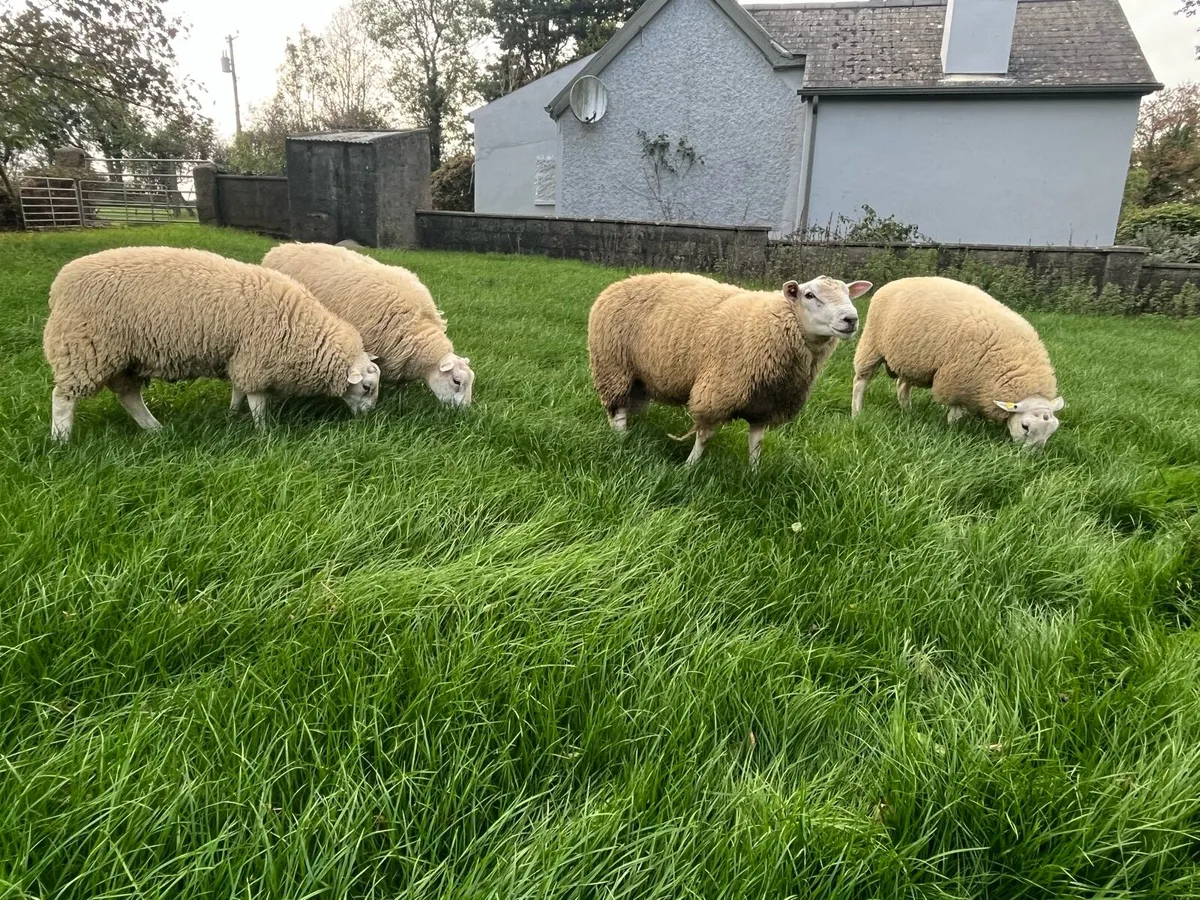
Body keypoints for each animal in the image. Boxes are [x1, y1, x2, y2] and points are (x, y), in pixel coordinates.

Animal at [43, 246, 381, 442]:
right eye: (366, 387)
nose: (368, 419)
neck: (300, 324)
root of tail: (59, 285)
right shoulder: (255, 359)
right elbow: (256, 399)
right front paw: (264, 430)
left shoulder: (239, 357)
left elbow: (238, 390)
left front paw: (232, 414)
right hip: (84, 348)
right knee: (63, 398)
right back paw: (60, 440)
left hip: (125, 360)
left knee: (129, 397)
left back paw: (154, 429)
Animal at [587, 272, 871, 467]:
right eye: (809, 295)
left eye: (848, 294)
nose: (850, 319)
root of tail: (619, 283)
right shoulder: (716, 393)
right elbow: (704, 436)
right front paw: (689, 467)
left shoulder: (765, 405)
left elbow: (756, 443)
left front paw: (753, 474)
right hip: (613, 366)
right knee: (617, 409)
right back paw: (621, 439)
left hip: (637, 378)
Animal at [850, 276, 1064, 449]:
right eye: (1025, 426)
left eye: (1052, 430)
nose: (1030, 457)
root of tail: (896, 282)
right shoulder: (956, 381)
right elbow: (955, 413)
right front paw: (953, 430)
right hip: (871, 344)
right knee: (860, 382)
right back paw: (857, 413)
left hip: (912, 359)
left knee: (902, 385)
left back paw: (908, 411)